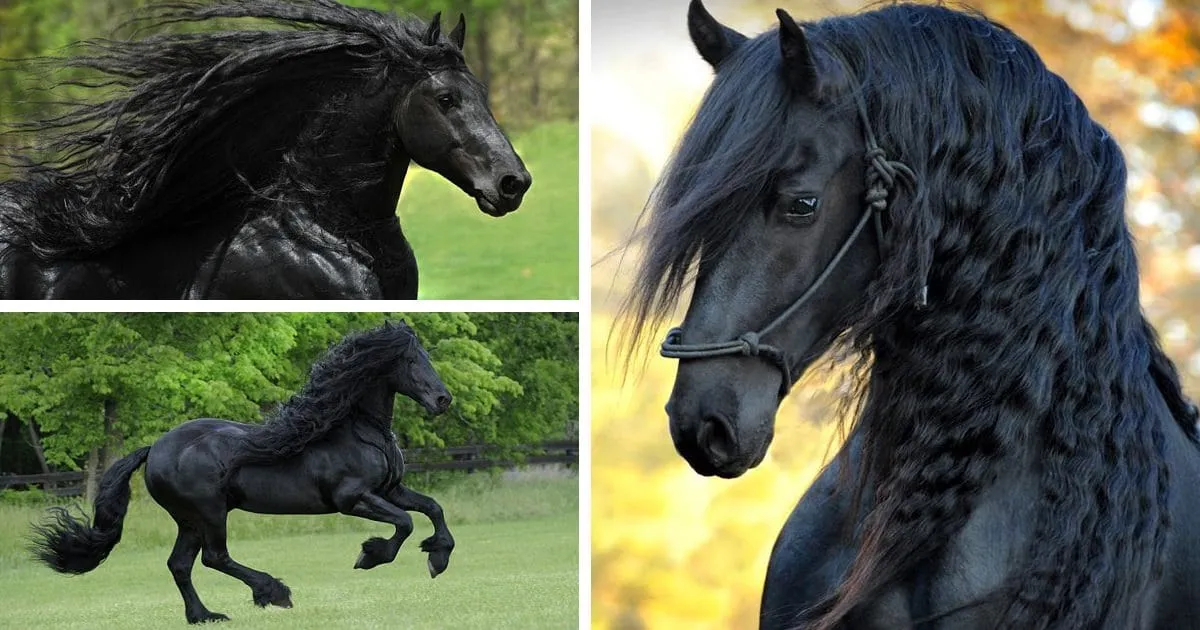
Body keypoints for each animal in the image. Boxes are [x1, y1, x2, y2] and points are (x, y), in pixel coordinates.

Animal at [30, 321, 457, 624]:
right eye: (410, 361)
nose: (443, 400)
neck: (358, 431)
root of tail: (155, 449)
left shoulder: (392, 489)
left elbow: (432, 509)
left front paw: (438, 558)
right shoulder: (352, 499)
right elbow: (404, 524)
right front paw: (370, 555)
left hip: (189, 520)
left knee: (180, 564)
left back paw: (204, 616)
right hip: (210, 513)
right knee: (215, 558)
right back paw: (274, 592)